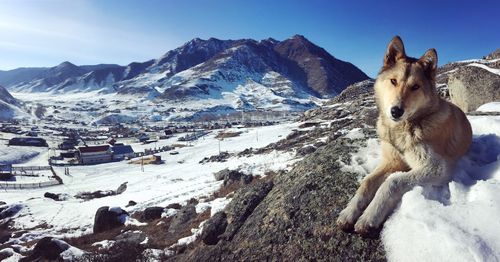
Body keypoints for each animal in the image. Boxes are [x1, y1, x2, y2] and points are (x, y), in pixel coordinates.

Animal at [336, 35, 472, 234]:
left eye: (415, 86)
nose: (396, 111)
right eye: (393, 81)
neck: (405, 128)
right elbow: (366, 182)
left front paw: (370, 216)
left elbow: (392, 182)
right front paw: (348, 212)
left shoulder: (437, 168)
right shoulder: (392, 161)